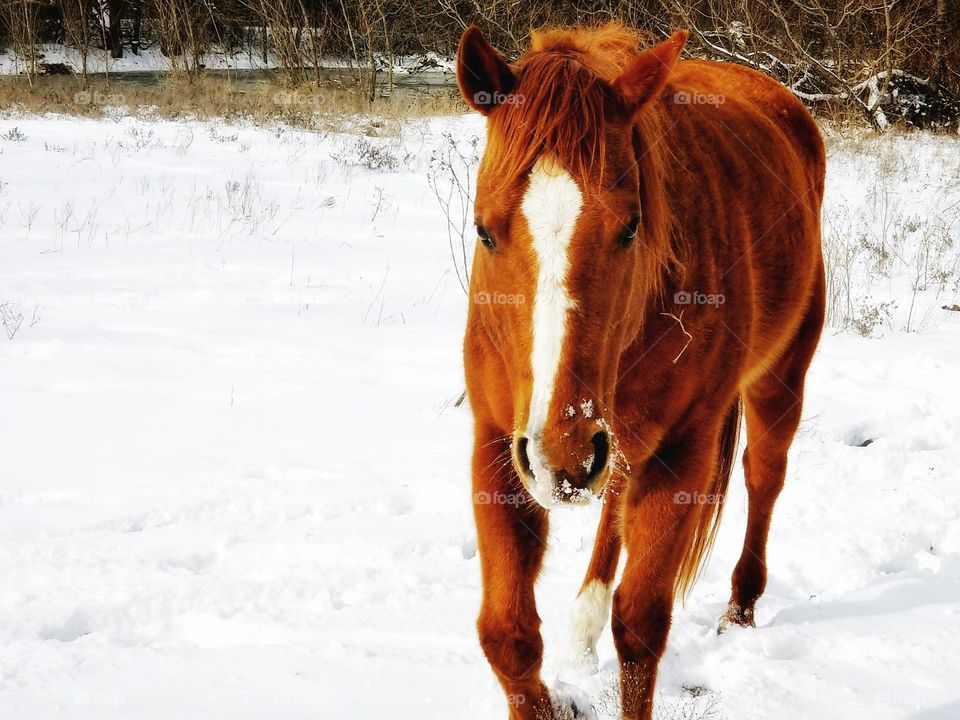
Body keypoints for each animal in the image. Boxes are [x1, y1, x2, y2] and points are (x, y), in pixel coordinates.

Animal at [458, 22, 824, 720]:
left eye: (630, 227)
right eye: (485, 231)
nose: (563, 457)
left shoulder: (681, 451)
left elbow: (641, 628)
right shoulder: (498, 444)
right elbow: (506, 636)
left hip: (778, 376)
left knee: (764, 478)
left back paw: (739, 610)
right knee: (616, 492)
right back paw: (583, 625)